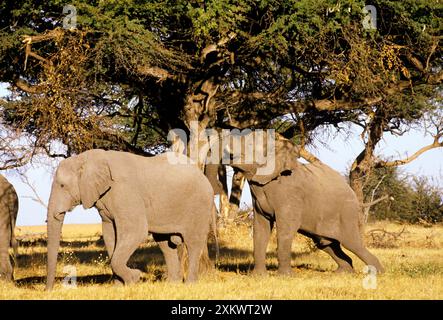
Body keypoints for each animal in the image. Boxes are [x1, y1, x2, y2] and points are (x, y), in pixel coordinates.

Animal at [46, 150, 216, 290]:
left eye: (62, 186)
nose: (49, 290)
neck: (87, 159)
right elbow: (109, 235)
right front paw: (119, 286)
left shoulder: (125, 191)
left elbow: (136, 231)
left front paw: (134, 278)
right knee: (165, 244)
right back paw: (172, 284)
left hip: (200, 204)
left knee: (193, 243)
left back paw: (190, 285)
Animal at [206, 131, 384, 276]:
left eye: (249, 145)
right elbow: (260, 229)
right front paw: (258, 277)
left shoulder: (290, 195)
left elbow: (286, 229)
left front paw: (284, 277)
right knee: (325, 243)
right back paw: (343, 273)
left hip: (347, 214)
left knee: (352, 243)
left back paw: (378, 272)